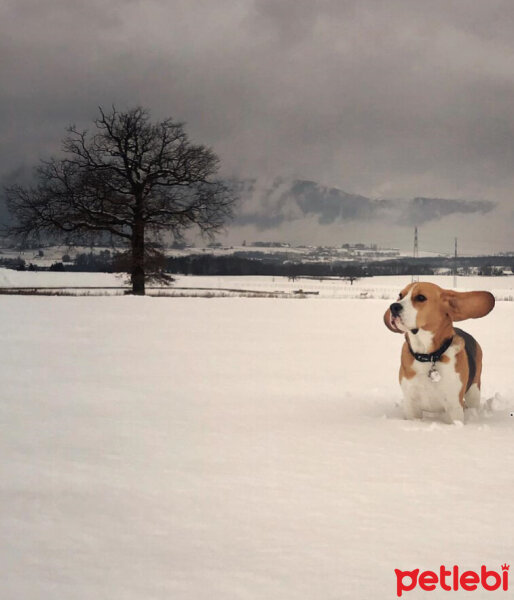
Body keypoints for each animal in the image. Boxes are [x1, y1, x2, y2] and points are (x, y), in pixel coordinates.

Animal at [382, 284, 494, 424]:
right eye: (400, 295)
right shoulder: (412, 406)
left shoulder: (454, 407)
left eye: (421, 297)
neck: (428, 356)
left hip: (474, 391)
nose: (393, 307)